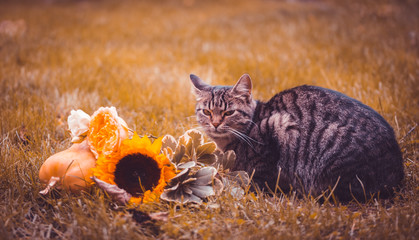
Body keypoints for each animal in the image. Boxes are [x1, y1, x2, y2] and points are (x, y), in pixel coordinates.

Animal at [192, 73, 406, 201]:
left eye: (229, 113)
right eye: (207, 112)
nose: (215, 123)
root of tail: (397, 175)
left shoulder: (278, 127)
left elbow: (256, 179)